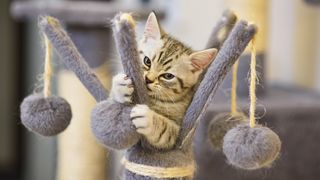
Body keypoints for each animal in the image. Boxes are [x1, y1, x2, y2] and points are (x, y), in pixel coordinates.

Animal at [110, 12, 218, 150]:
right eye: (147, 61)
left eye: (168, 76)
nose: (148, 79)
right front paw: (120, 86)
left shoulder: (177, 134)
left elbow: (165, 130)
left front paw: (148, 118)